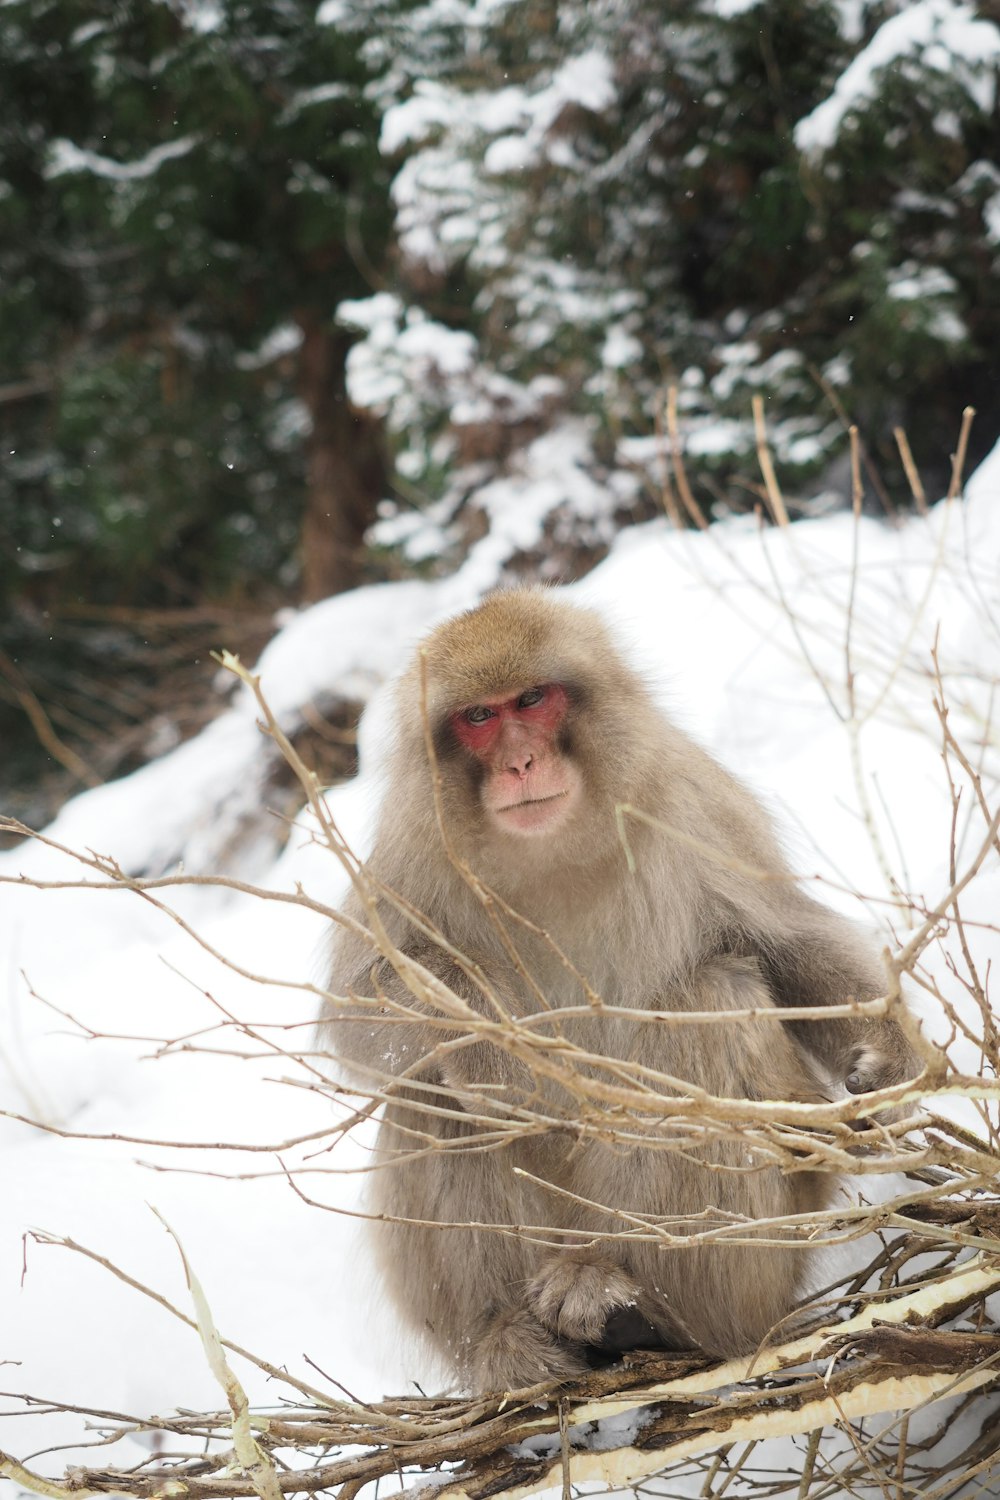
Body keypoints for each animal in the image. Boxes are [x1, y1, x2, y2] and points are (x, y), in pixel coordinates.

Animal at [322, 585, 923, 1392]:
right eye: (479, 717)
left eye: (533, 699)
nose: (520, 761)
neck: (552, 848)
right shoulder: (410, 849)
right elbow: (359, 1013)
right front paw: (488, 1031)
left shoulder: (695, 804)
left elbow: (787, 945)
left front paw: (891, 1058)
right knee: (429, 1088)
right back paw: (507, 1336)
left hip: (772, 1242)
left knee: (707, 1004)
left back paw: (643, 1308)